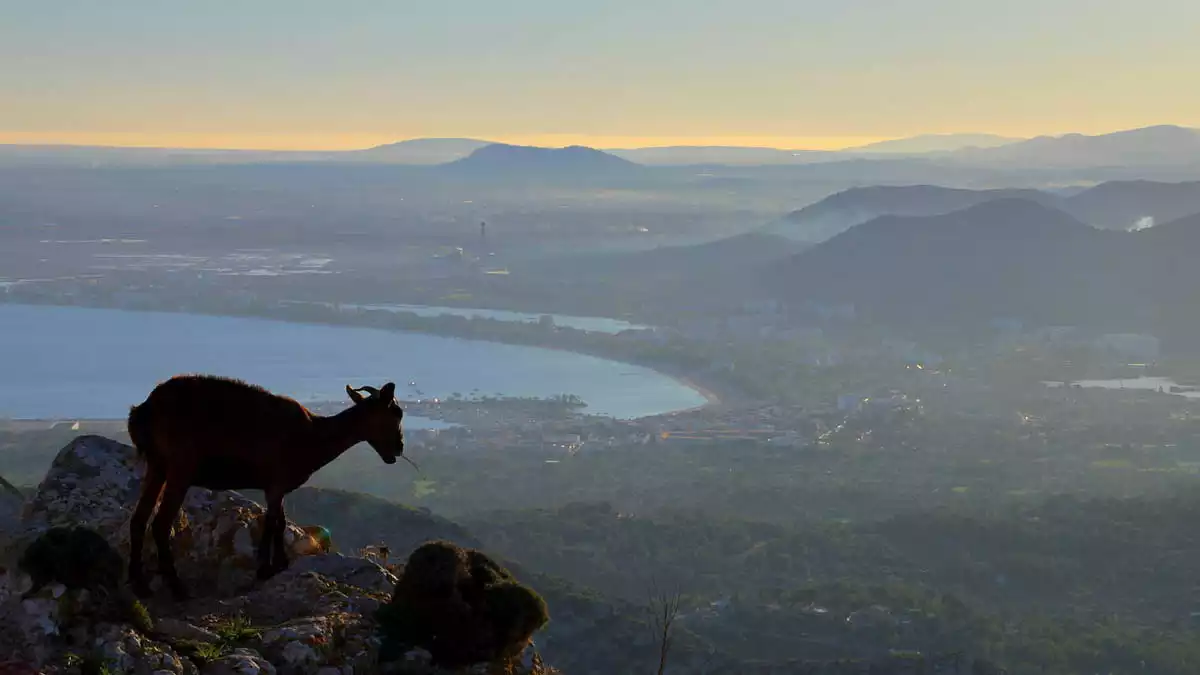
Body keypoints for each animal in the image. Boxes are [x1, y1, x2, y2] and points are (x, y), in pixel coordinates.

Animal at [126, 372, 405, 598]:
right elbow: (272, 522)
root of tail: (143, 410)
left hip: (158, 466)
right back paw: (177, 588)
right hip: (180, 468)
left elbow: (279, 522)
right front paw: (265, 568)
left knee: (138, 519)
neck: (314, 435)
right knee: (160, 524)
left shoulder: (275, 486)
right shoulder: (277, 481)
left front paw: (279, 564)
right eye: (395, 413)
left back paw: (140, 584)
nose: (399, 448)